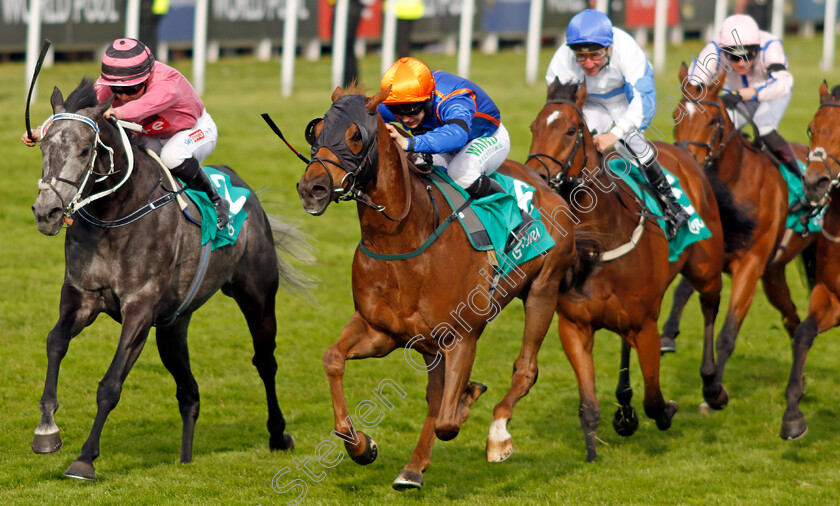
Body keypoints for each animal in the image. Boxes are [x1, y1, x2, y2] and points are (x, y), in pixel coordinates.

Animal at [29, 78, 314, 478]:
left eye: (86, 150)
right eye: (43, 144)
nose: (47, 212)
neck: (115, 215)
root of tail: (247, 191)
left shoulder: (139, 307)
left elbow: (110, 384)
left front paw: (84, 459)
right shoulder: (82, 296)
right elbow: (55, 342)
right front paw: (46, 431)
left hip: (257, 296)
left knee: (265, 361)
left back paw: (278, 434)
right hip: (172, 326)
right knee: (189, 391)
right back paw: (186, 456)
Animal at [294, 85, 596, 488]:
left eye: (355, 135)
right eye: (315, 132)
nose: (312, 187)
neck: (403, 240)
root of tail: (547, 185)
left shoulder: (461, 336)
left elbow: (449, 421)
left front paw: (469, 399)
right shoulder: (382, 331)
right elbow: (332, 359)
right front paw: (361, 446)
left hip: (543, 290)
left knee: (525, 369)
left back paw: (497, 436)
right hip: (429, 342)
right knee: (436, 394)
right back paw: (413, 467)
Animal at [486, 80, 728, 462]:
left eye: (571, 130)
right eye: (534, 127)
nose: (538, 177)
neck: (605, 237)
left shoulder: (646, 325)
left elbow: (655, 399)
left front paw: (664, 410)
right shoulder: (575, 327)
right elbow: (589, 405)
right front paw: (592, 453)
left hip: (706, 269)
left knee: (709, 307)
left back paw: (711, 385)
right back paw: (625, 404)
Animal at [664, 63, 812, 410]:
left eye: (712, 120)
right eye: (676, 115)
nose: (685, 162)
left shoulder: (750, 265)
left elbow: (727, 334)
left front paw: (714, 391)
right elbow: (681, 292)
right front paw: (667, 335)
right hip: (774, 274)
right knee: (792, 318)